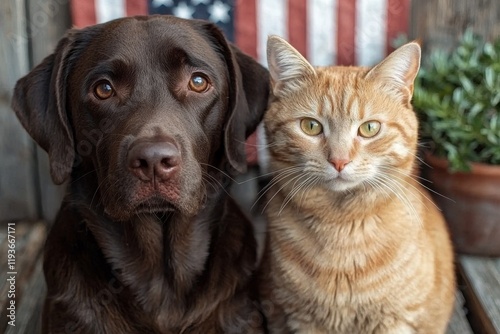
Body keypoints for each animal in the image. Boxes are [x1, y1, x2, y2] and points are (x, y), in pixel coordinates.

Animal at [260, 35, 456, 332]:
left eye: (369, 128)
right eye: (310, 126)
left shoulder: (396, 319)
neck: (340, 227)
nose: (339, 161)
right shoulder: (300, 318)